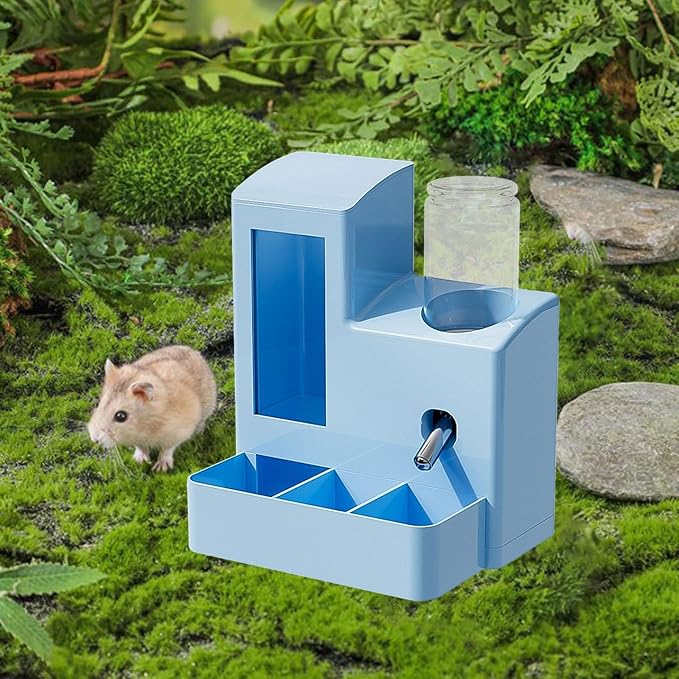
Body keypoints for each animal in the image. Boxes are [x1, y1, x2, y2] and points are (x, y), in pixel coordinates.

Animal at [88, 345, 217, 472]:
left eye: (121, 416)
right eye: (99, 404)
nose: (94, 439)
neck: (145, 425)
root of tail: (194, 351)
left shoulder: (177, 433)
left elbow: (167, 449)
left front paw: (161, 468)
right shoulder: (138, 440)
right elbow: (140, 447)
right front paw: (140, 461)